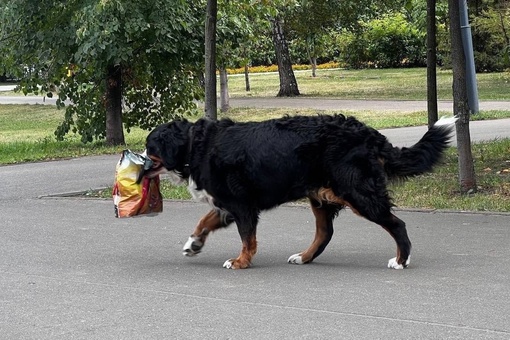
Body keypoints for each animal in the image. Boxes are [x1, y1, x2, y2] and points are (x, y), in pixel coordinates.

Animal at [144, 114, 458, 268]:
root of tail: (369, 133)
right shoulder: (227, 204)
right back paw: (304, 257)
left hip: (358, 192)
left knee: (397, 224)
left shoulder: (242, 204)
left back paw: (401, 260)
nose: (140, 160)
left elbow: (247, 239)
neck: (196, 145)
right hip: (321, 196)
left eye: (149, 148)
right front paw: (194, 243)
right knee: (324, 233)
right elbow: (204, 221)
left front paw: (241, 262)